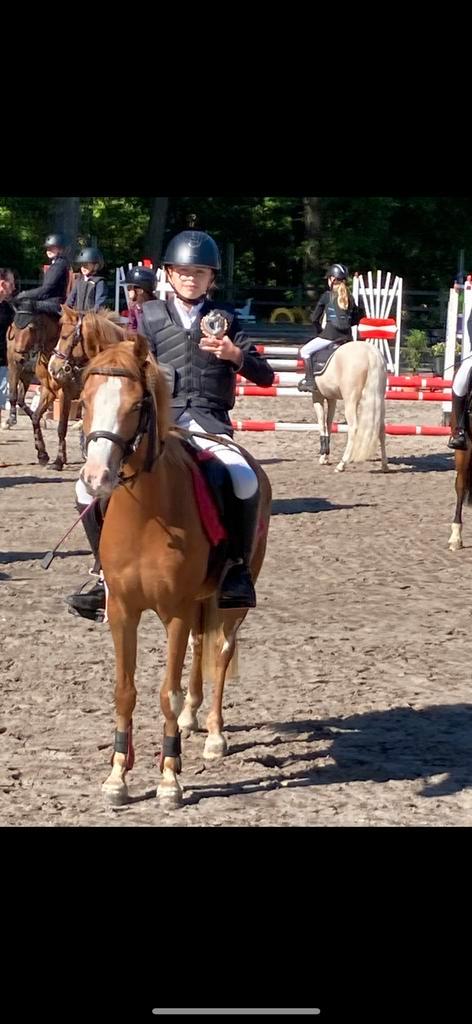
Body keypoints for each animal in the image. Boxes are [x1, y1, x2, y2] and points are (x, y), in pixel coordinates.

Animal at [79, 333, 272, 808]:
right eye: (85, 399)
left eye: (136, 405)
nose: (96, 477)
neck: (146, 515)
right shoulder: (123, 612)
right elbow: (124, 691)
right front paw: (117, 777)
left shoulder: (175, 612)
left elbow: (166, 691)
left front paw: (169, 779)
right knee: (202, 647)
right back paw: (190, 718)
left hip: (229, 602)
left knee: (221, 652)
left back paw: (214, 736)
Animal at [309, 340, 388, 473]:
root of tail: (370, 353)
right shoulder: (332, 398)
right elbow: (328, 424)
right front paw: (325, 456)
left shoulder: (317, 396)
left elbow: (322, 423)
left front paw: (323, 455)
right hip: (379, 399)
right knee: (381, 428)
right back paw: (385, 465)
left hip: (350, 400)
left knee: (353, 428)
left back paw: (342, 464)